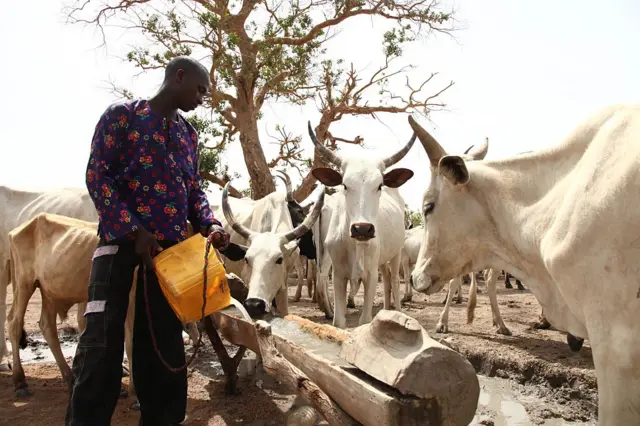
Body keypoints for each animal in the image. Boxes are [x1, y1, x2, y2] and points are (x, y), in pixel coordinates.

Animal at [308, 121, 416, 328]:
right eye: (345, 185)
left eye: (379, 185)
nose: (362, 229)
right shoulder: (339, 275)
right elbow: (338, 322)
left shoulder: (371, 275)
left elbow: (365, 320)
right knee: (387, 279)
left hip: (397, 253)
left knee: (395, 281)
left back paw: (397, 310)